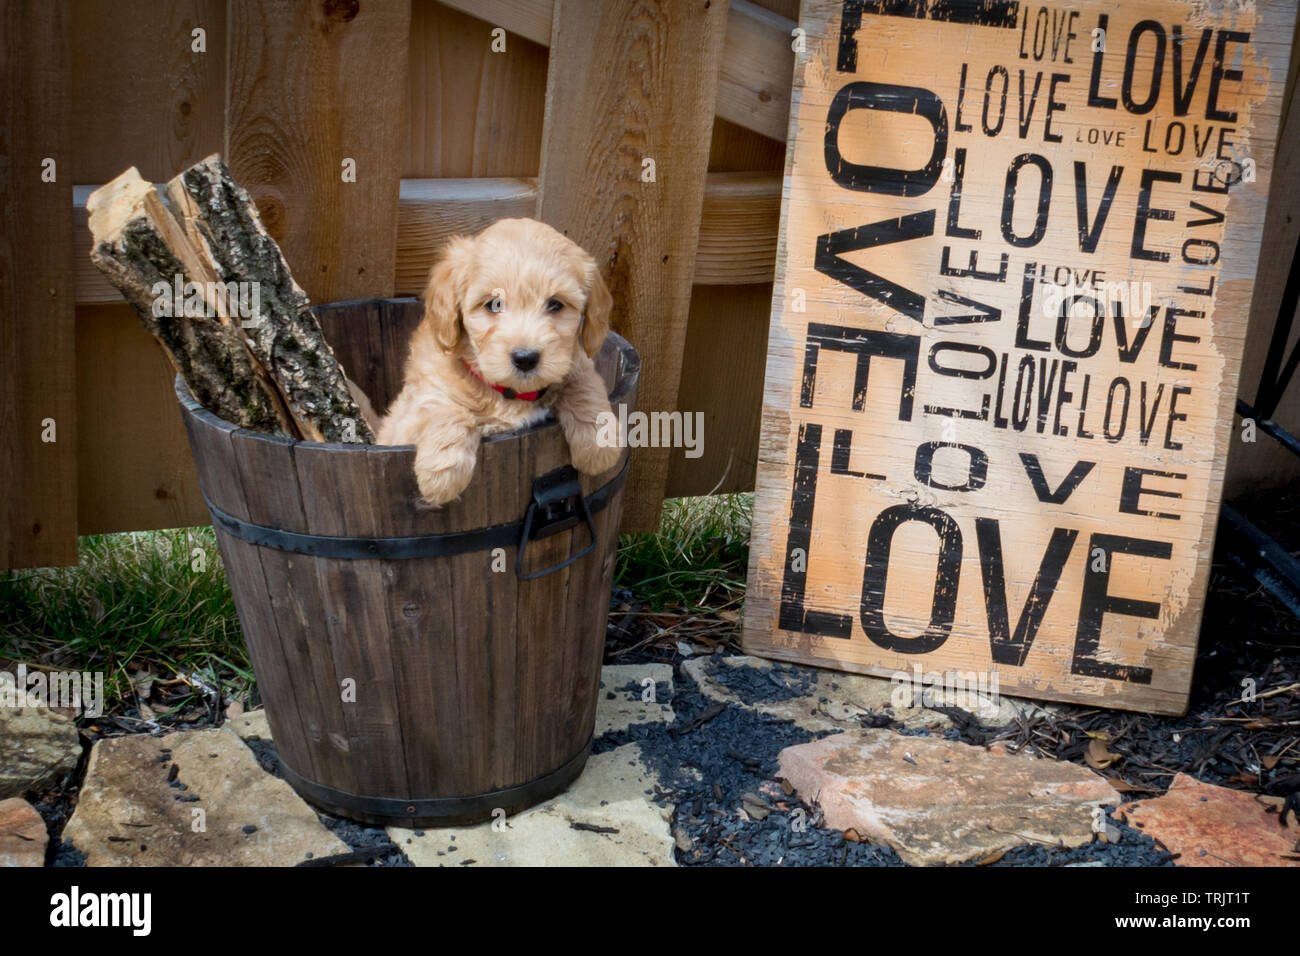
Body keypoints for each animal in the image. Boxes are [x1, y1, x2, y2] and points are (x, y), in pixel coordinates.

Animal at [379, 214, 621, 502]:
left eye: (555, 304)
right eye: (493, 304)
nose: (526, 358)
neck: (510, 394)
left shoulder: (576, 363)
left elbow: (584, 386)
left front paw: (600, 443)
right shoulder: (412, 413)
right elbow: (444, 407)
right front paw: (443, 474)